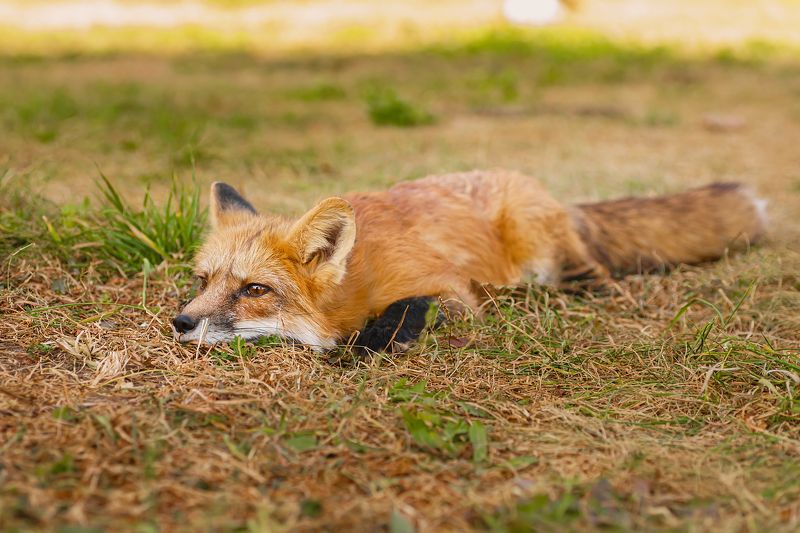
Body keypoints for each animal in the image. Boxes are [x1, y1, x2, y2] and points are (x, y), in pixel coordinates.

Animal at [172, 170, 766, 352]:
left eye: (255, 289)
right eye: (202, 281)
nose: (180, 322)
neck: (358, 280)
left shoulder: (447, 288)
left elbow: (404, 311)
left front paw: (365, 342)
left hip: (540, 246)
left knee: (591, 278)